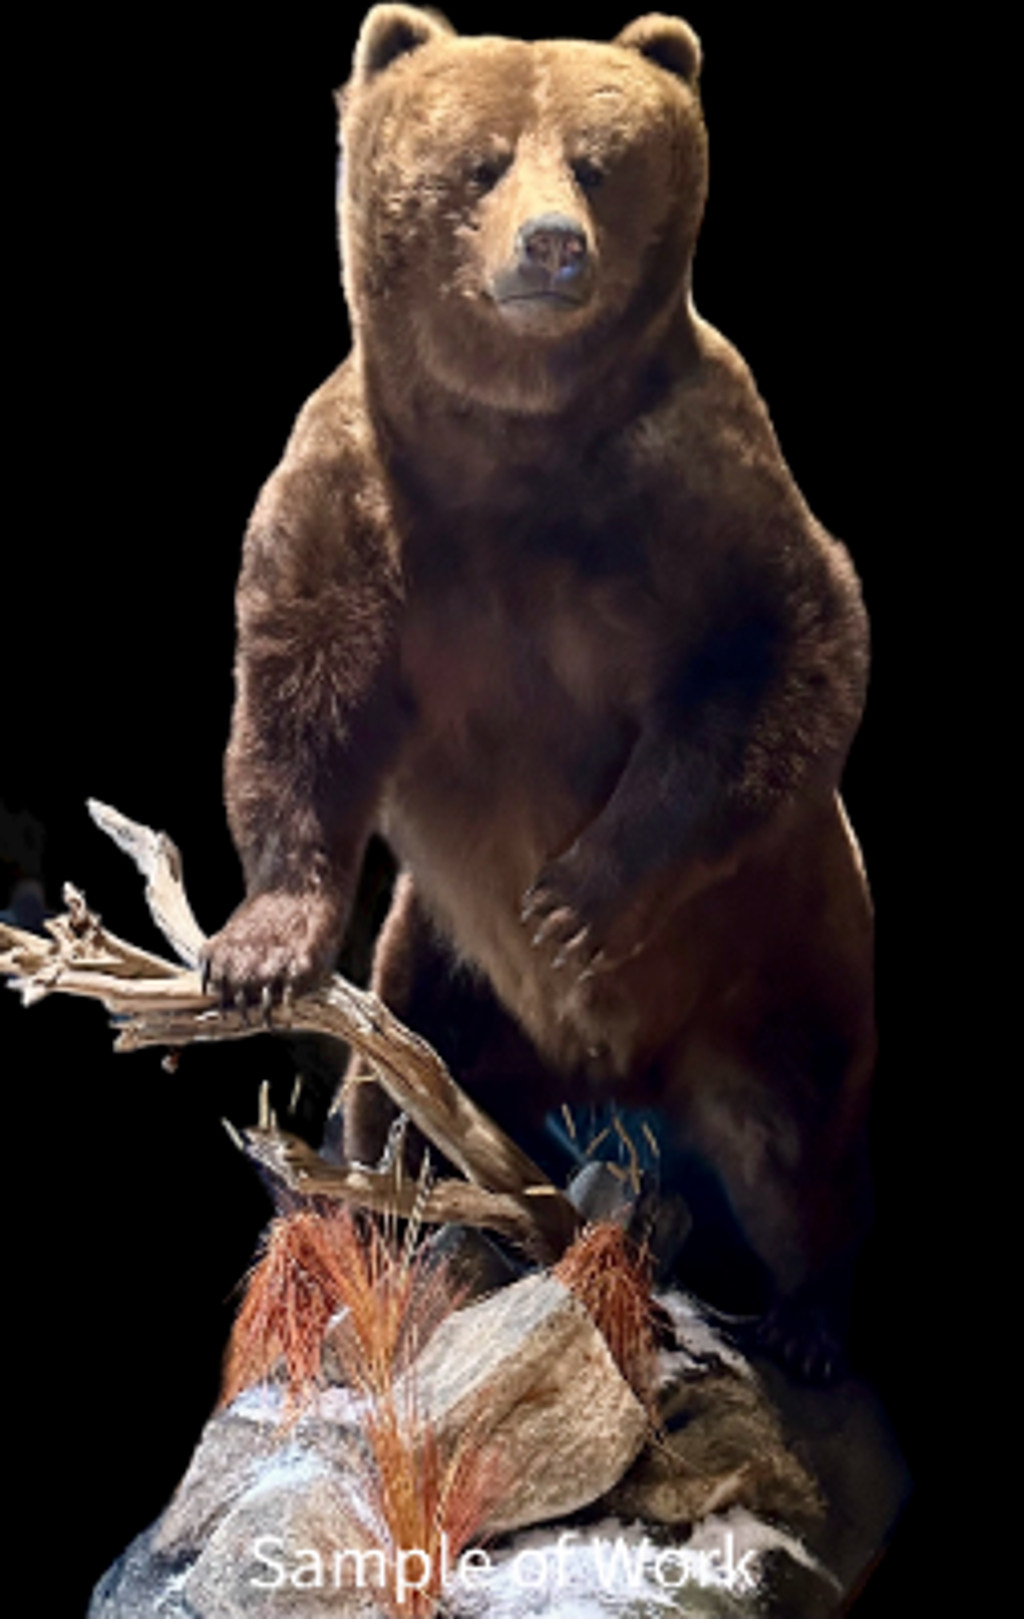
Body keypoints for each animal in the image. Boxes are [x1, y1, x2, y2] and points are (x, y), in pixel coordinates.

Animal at [203, 6, 876, 1382]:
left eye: (600, 164)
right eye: (480, 162)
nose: (553, 245)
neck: (513, 443)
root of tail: (623, 1068)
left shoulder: (702, 478)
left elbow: (785, 649)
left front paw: (575, 897)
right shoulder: (354, 490)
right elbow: (299, 705)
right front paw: (258, 948)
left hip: (785, 964)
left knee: (793, 1141)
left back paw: (804, 1320)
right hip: (441, 976)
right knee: (392, 1110)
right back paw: (402, 1243)